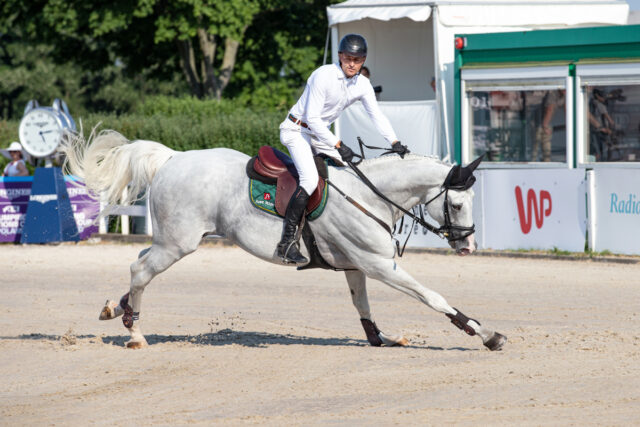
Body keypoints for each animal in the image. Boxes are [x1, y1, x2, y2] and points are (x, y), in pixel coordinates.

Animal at [62, 130, 508, 352]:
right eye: (456, 204)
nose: (467, 247)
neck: (369, 195)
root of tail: (174, 157)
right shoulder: (380, 265)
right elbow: (433, 297)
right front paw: (486, 334)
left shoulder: (357, 265)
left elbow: (362, 306)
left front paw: (380, 338)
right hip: (179, 243)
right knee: (140, 268)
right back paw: (135, 334)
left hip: (172, 240)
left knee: (140, 262)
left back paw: (117, 310)